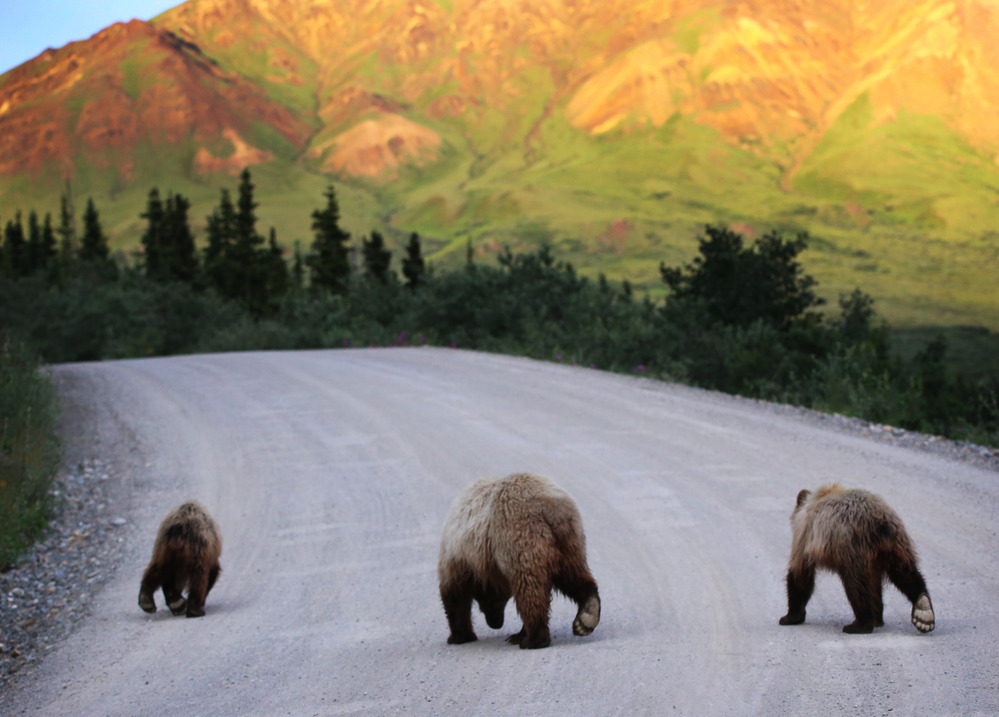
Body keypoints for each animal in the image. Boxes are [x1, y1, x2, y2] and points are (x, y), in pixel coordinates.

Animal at [438, 472, 601, 649]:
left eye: (492, 602)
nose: (496, 623)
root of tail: (549, 506)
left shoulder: (457, 555)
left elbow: (454, 593)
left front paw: (458, 636)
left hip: (519, 536)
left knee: (529, 589)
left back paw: (533, 639)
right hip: (569, 541)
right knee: (573, 575)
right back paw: (586, 618)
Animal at [779, 484, 934, 634]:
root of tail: (880, 523)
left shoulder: (805, 536)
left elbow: (800, 573)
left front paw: (790, 616)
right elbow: (876, 584)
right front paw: (878, 617)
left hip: (852, 547)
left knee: (856, 586)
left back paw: (859, 625)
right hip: (896, 545)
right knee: (905, 573)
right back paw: (923, 611)